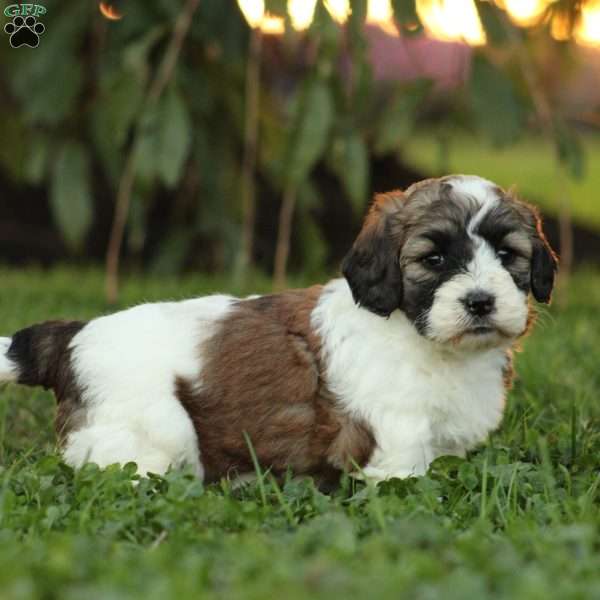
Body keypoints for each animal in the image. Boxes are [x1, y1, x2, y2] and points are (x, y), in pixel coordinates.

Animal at [0, 176, 556, 486]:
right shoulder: (395, 433)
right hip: (151, 429)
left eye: (506, 254)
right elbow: (404, 479)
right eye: (434, 259)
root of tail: (73, 336)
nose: (480, 301)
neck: (422, 338)